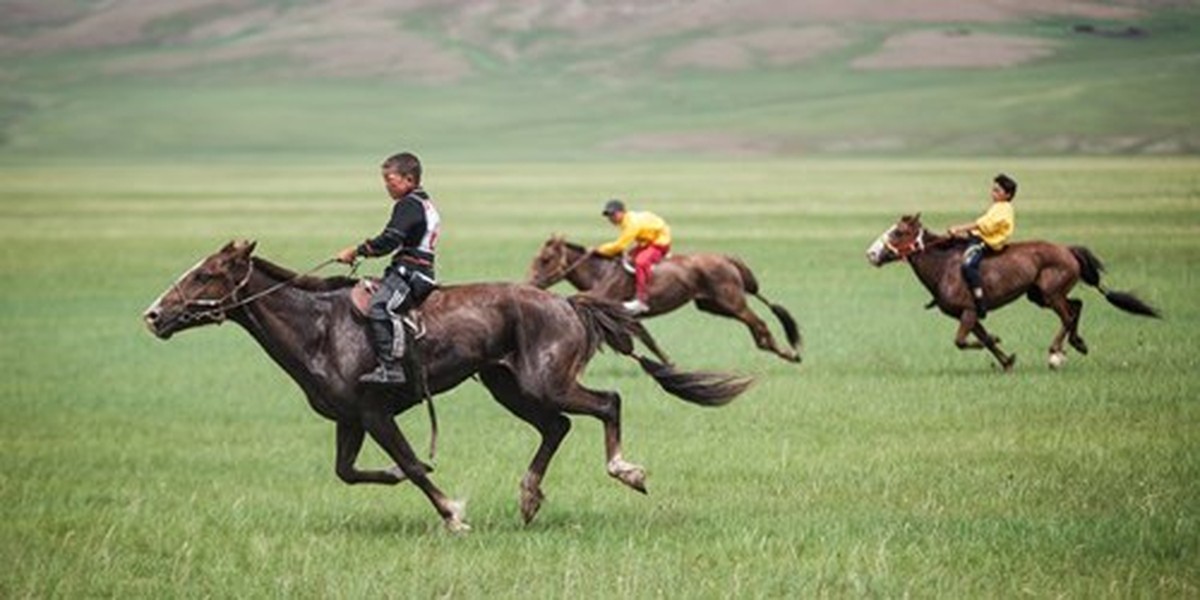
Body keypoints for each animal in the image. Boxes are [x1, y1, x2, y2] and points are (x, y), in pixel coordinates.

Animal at [140, 238, 748, 530]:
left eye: (205, 274)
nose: (153, 315)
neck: (319, 327)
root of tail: (566, 302)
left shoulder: (376, 413)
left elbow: (412, 464)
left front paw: (454, 514)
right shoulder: (349, 420)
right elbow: (349, 472)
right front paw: (397, 478)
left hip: (544, 381)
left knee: (606, 403)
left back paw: (626, 471)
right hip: (508, 386)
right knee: (557, 427)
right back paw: (529, 498)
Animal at [528, 235, 801, 362]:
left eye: (545, 259)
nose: (531, 283)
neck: (601, 274)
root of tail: (726, 258)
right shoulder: (629, 318)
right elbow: (649, 341)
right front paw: (671, 365)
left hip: (731, 301)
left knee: (759, 323)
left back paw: (789, 353)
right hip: (713, 305)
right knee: (755, 328)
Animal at [868, 213, 1156, 367]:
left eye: (898, 232)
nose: (871, 254)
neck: (944, 266)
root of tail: (1068, 250)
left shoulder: (969, 311)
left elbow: (962, 341)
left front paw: (998, 342)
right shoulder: (968, 315)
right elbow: (980, 340)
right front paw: (1007, 361)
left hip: (1051, 294)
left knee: (1067, 315)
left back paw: (1056, 353)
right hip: (1039, 295)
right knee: (1076, 306)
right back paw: (1077, 343)